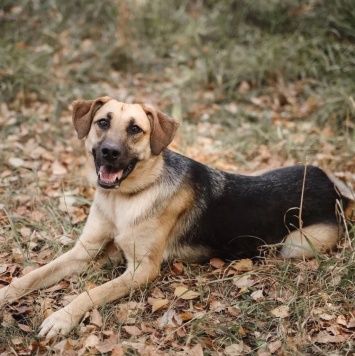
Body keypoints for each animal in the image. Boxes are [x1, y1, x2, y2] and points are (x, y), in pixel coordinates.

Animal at [0, 96, 354, 336]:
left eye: (135, 129)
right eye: (102, 122)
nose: (109, 153)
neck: (124, 199)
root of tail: (333, 186)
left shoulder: (141, 270)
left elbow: (92, 292)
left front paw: (61, 318)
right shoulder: (84, 251)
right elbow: (32, 276)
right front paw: (6, 293)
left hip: (296, 245)